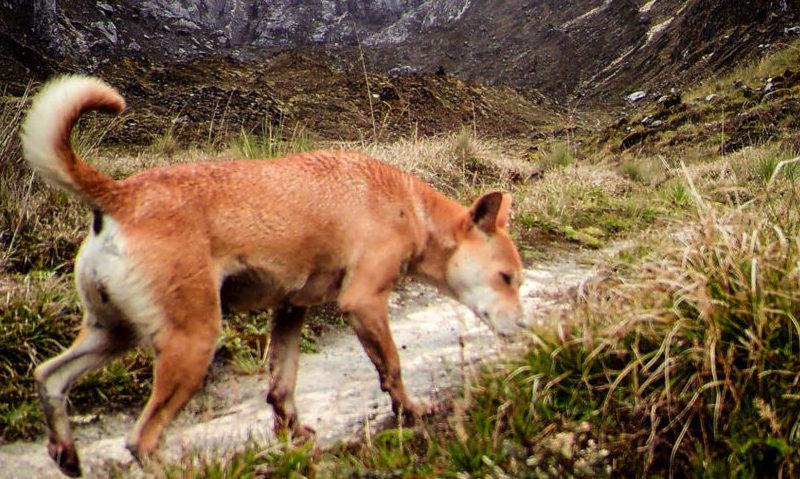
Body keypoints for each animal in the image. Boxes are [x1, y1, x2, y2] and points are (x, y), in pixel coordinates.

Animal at [20, 75, 524, 476]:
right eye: (506, 278)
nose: (524, 327)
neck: (411, 207)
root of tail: (119, 194)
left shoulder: (289, 311)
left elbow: (282, 387)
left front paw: (293, 436)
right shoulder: (363, 302)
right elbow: (392, 369)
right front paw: (413, 411)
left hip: (113, 334)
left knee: (50, 377)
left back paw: (66, 453)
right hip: (192, 342)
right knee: (140, 439)